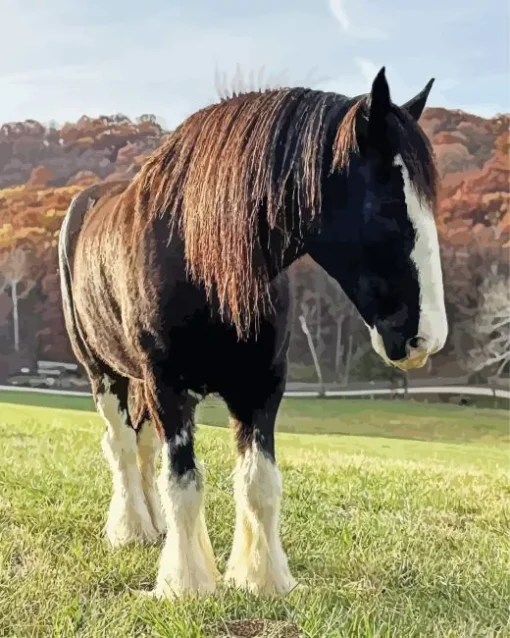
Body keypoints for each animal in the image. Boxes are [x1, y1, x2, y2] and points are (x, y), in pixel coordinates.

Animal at [58, 67, 446, 604]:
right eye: (389, 204)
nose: (426, 338)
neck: (197, 252)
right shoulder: (167, 386)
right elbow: (183, 482)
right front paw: (187, 582)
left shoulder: (261, 386)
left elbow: (258, 482)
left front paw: (261, 578)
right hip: (104, 373)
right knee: (120, 446)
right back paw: (132, 528)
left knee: (142, 447)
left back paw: (154, 528)